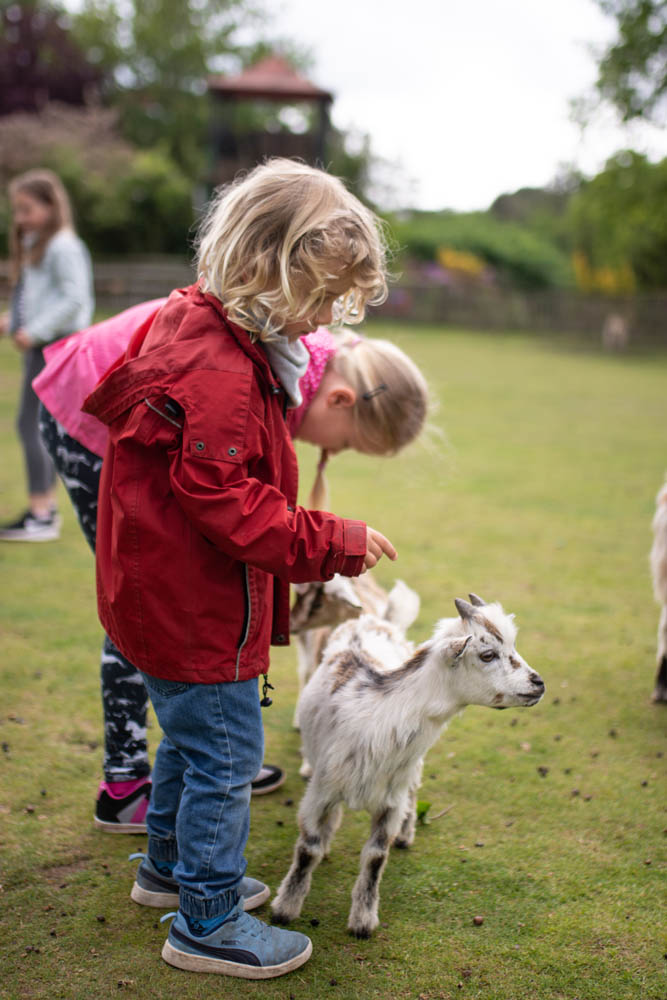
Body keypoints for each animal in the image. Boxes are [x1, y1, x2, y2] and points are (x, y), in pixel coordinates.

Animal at [272, 592, 544, 936]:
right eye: (487, 655)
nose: (538, 684)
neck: (381, 714)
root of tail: (369, 619)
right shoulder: (321, 791)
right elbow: (308, 849)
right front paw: (285, 909)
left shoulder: (391, 799)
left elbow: (376, 857)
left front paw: (363, 921)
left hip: (409, 771)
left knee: (414, 789)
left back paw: (405, 833)